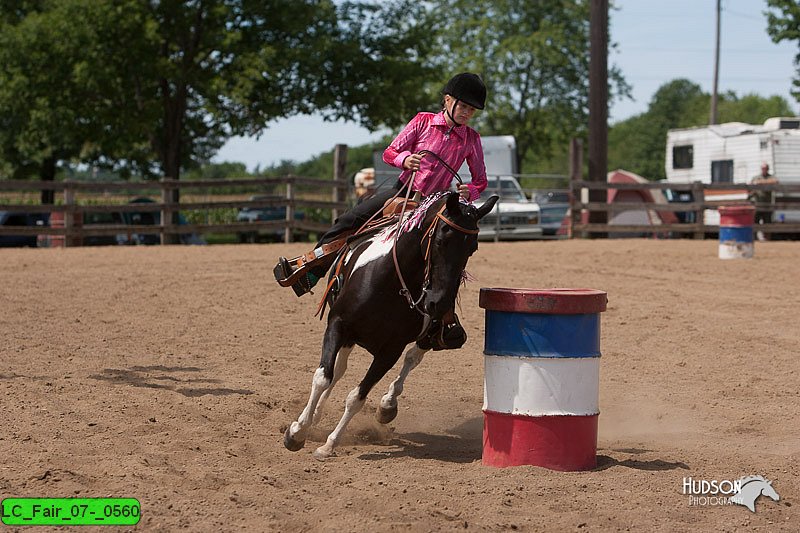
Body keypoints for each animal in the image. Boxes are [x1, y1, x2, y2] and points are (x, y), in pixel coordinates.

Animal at [282, 190, 494, 458]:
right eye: (440, 240)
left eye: (472, 248)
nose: (438, 304)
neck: (388, 282)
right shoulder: (338, 325)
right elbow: (323, 377)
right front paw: (297, 432)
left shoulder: (390, 351)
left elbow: (357, 396)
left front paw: (329, 445)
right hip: (350, 335)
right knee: (338, 370)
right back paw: (317, 414)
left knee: (412, 358)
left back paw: (387, 405)